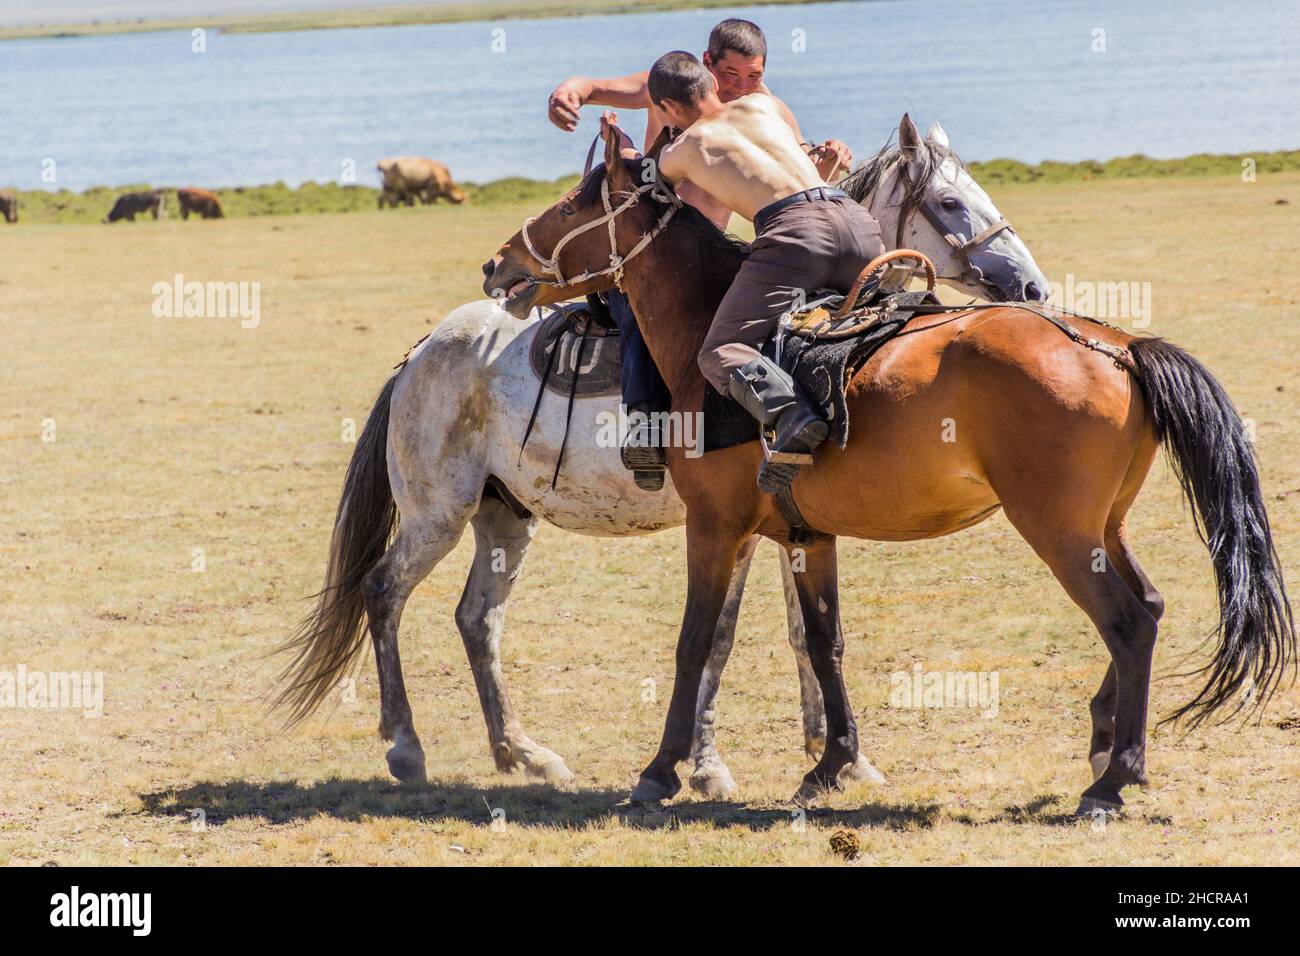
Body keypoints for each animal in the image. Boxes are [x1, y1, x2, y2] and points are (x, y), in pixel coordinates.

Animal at [275, 115, 1049, 796]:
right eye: (949, 201)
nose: (1032, 287)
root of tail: (422, 352)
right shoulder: (729, 527)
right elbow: (720, 640)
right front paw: (708, 766)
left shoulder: (781, 524)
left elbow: (800, 633)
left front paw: (836, 756)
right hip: (437, 513)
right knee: (384, 592)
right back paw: (406, 747)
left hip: (505, 515)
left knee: (477, 619)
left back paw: (521, 752)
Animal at [481, 114, 1294, 815]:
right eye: (950, 200)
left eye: (569, 203)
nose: (497, 261)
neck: (704, 331)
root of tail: (1116, 346)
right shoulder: (807, 536)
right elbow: (824, 643)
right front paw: (833, 762)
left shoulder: (714, 528)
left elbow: (695, 644)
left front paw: (660, 771)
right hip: (1105, 527)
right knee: (1150, 607)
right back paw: (1108, 740)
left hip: (1061, 532)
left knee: (1127, 623)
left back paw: (1114, 776)